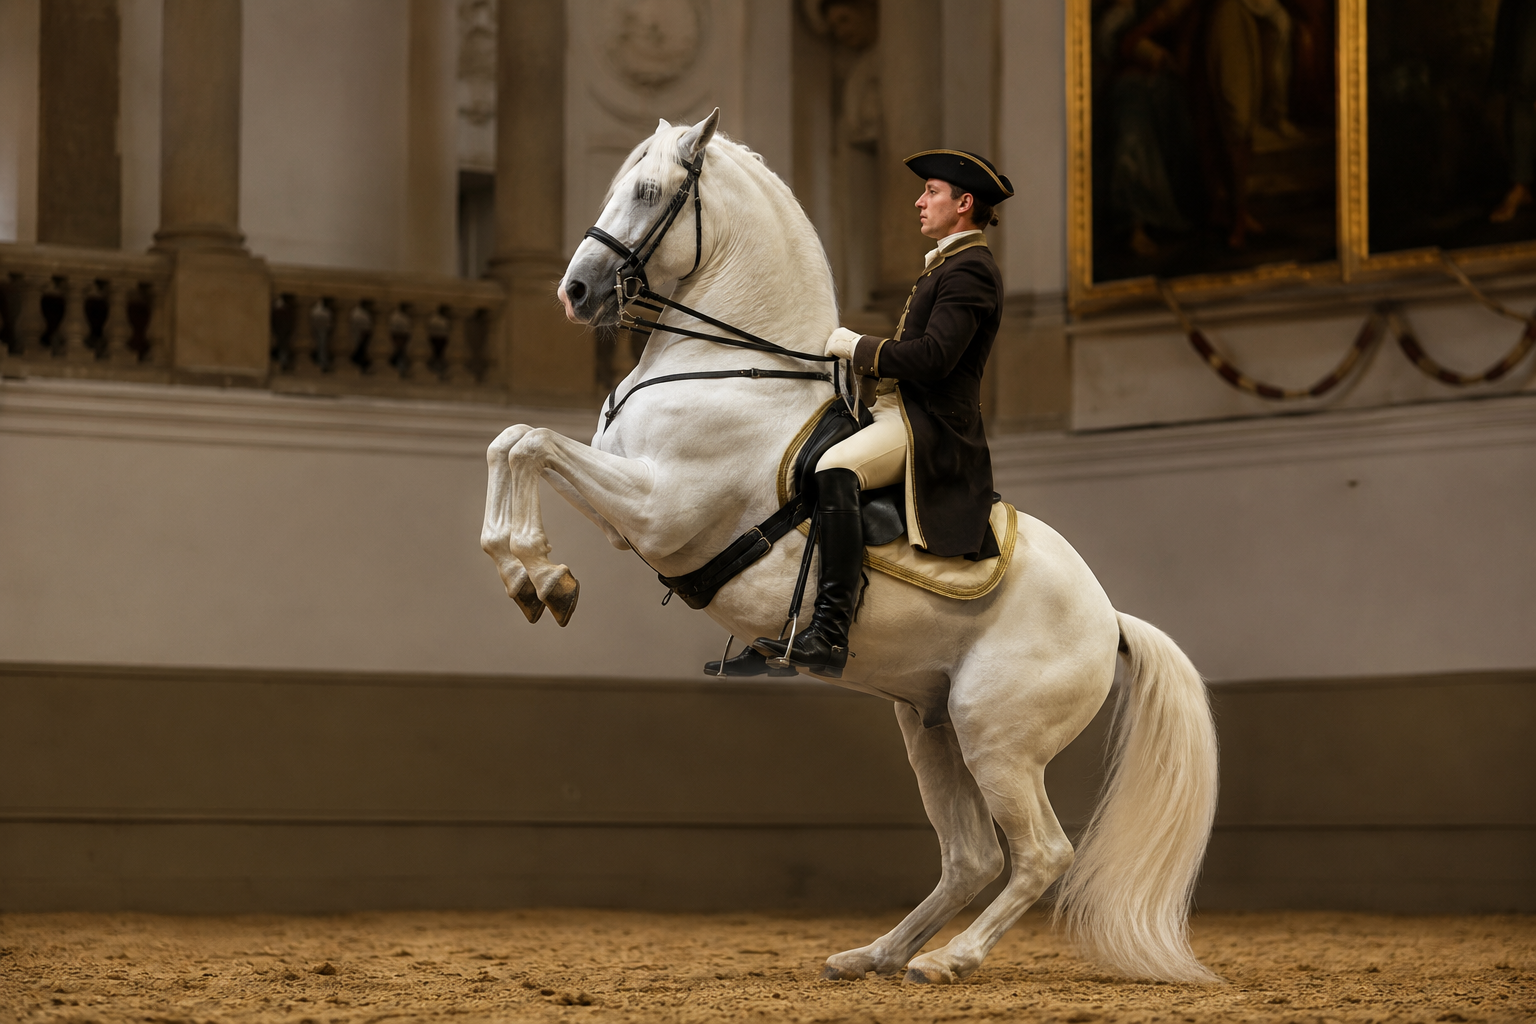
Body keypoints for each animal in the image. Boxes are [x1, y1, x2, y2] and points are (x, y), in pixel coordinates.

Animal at [481, 111, 1221, 986]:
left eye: (650, 192)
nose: (575, 292)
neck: (730, 368)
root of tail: (1110, 620)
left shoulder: (658, 510)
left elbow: (528, 444)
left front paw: (540, 577)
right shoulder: (624, 513)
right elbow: (514, 442)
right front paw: (533, 575)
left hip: (995, 737)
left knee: (1040, 853)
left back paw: (949, 959)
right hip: (931, 726)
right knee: (971, 856)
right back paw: (877, 953)